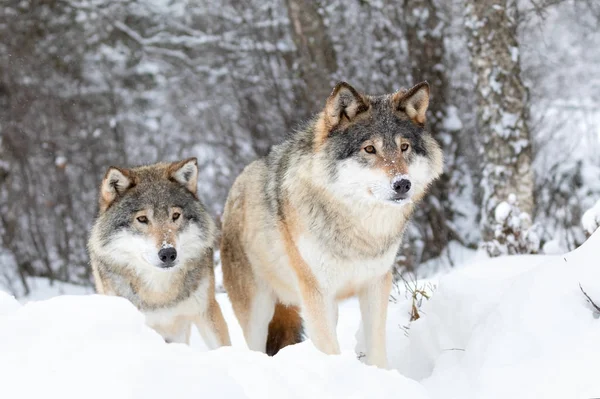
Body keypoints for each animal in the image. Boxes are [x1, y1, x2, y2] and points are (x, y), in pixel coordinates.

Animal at [219, 81, 440, 368]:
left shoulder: (376, 285)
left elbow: (376, 348)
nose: (403, 184)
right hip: (259, 310)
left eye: (404, 147)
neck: (359, 229)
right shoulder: (316, 293)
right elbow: (329, 349)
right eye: (370, 149)